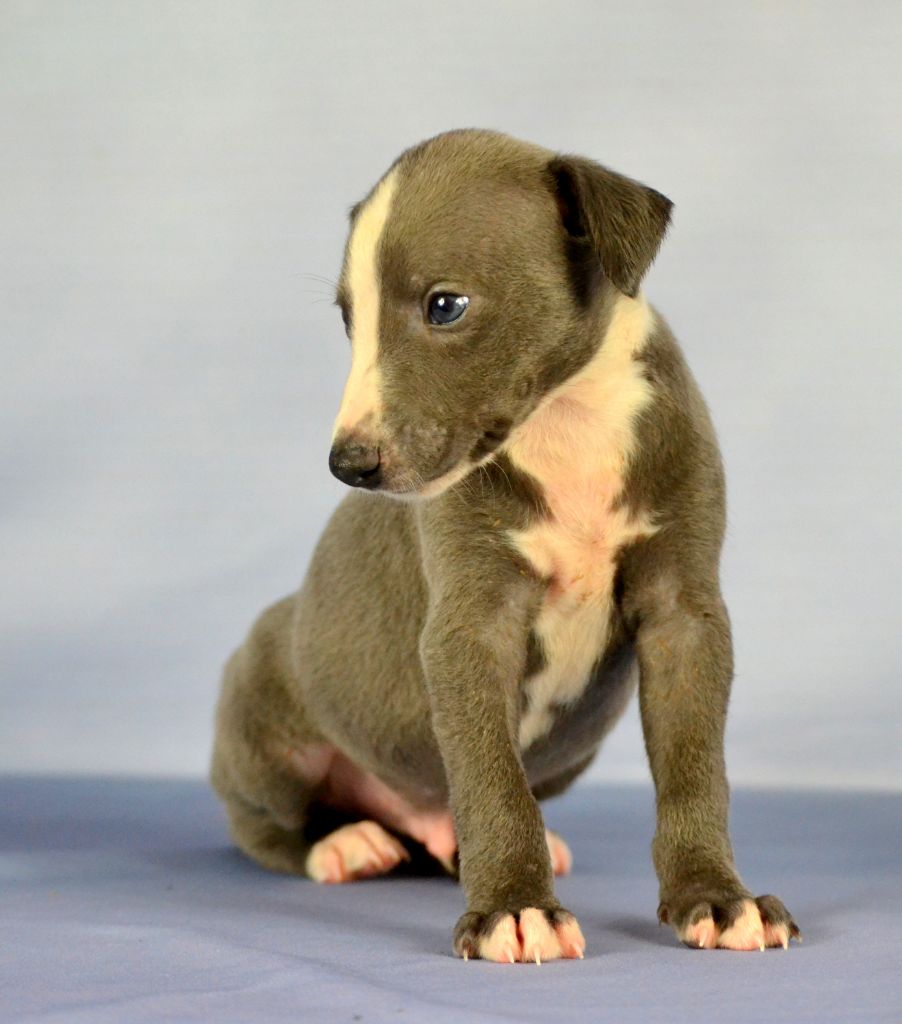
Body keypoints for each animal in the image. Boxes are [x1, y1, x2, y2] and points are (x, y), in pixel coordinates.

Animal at [211, 128, 799, 962]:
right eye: (350, 321)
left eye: (445, 305)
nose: (348, 464)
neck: (567, 423)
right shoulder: (470, 626)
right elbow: (492, 780)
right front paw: (515, 909)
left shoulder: (683, 615)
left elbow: (694, 768)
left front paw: (716, 897)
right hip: (259, 711)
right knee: (265, 824)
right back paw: (345, 843)